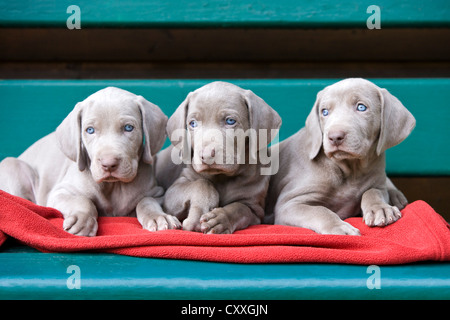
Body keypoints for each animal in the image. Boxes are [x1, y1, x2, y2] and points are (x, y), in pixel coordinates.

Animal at [2, 86, 181, 236]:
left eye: (129, 128)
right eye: (90, 130)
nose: (109, 164)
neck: (113, 186)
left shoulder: (158, 193)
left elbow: (145, 201)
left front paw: (158, 217)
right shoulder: (60, 192)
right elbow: (83, 200)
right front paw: (82, 220)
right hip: (12, 165)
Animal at [156, 81, 280, 234]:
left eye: (230, 121)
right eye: (192, 123)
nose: (207, 155)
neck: (222, 177)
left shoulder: (255, 209)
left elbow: (239, 209)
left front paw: (220, 219)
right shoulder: (172, 194)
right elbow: (202, 183)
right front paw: (197, 216)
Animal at [266, 78, 416, 235]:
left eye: (361, 107)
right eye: (324, 112)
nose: (334, 137)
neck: (350, 169)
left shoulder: (378, 184)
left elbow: (372, 191)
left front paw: (380, 208)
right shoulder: (289, 204)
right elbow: (320, 211)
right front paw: (339, 227)